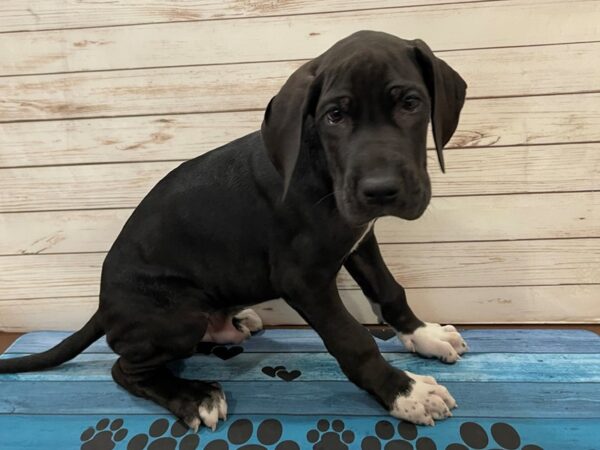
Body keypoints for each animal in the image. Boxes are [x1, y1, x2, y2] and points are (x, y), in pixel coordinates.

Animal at [0, 30, 468, 428]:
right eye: (334, 116)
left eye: (411, 104)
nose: (380, 190)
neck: (319, 166)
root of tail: (103, 307)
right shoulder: (303, 279)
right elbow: (352, 339)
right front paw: (405, 392)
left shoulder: (360, 240)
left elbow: (389, 290)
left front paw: (424, 335)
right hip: (178, 317)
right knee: (125, 368)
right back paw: (194, 396)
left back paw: (233, 322)